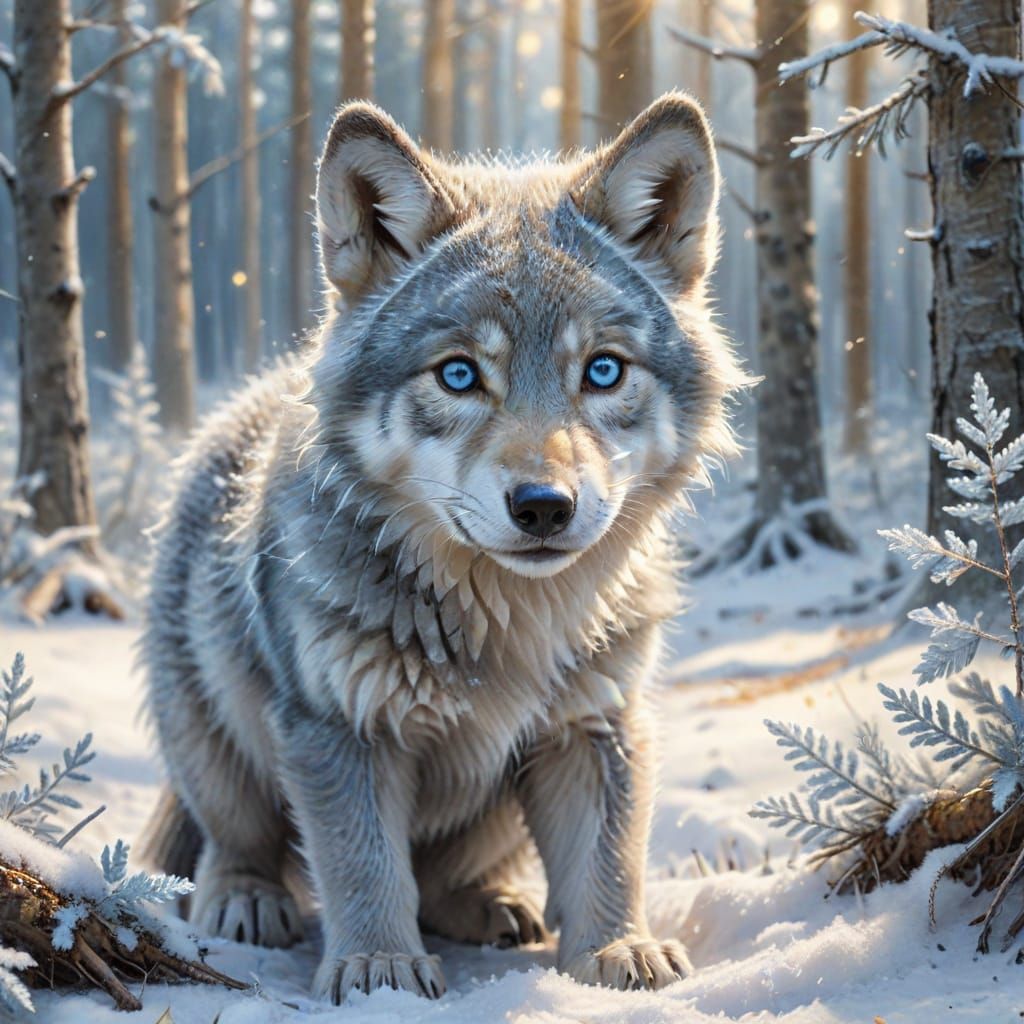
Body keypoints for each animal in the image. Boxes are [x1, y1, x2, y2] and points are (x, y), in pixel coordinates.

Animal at [141, 92, 745, 1002]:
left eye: (602, 372)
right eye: (459, 376)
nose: (544, 507)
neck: (509, 624)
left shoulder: (595, 723)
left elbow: (608, 862)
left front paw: (616, 953)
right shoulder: (338, 726)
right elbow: (363, 866)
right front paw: (378, 969)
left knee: (444, 880)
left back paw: (492, 906)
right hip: (220, 733)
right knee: (232, 840)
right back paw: (242, 898)